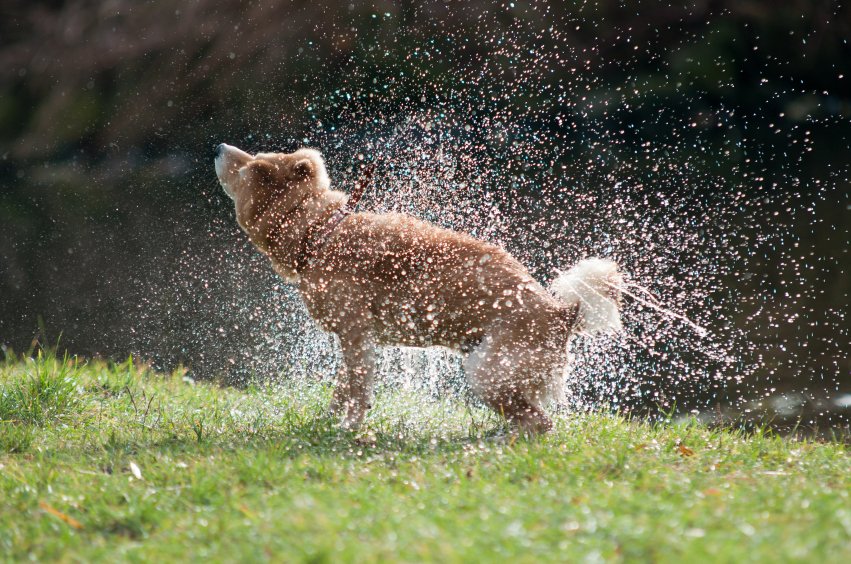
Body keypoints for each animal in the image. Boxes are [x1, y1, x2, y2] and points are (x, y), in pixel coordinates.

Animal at [216, 143, 624, 434]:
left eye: (256, 167)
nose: (219, 146)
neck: (320, 232)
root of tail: (562, 315)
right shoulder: (357, 341)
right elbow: (343, 387)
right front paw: (328, 421)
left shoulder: (355, 334)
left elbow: (356, 389)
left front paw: (347, 429)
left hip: (486, 371)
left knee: (540, 423)